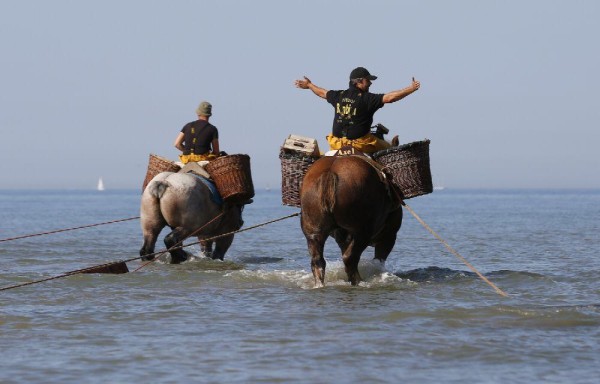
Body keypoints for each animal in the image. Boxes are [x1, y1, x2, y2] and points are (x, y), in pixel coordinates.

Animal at [300, 155, 404, 284]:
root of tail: (330, 172)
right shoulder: (388, 237)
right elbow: (378, 261)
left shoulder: (342, 239)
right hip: (362, 232)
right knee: (350, 258)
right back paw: (358, 281)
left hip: (313, 233)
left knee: (318, 261)